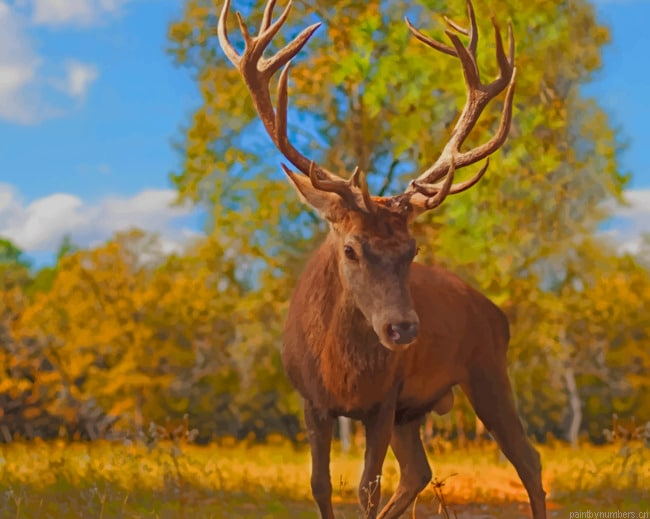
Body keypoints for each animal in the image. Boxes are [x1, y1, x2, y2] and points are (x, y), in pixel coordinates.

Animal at [217, 1, 547, 518]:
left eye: (413, 250)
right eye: (351, 248)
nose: (403, 329)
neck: (342, 374)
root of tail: (497, 313)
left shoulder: (384, 400)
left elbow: (366, 489)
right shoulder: (311, 401)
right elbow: (320, 484)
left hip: (488, 369)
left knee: (527, 459)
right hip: (418, 411)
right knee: (419, 472)